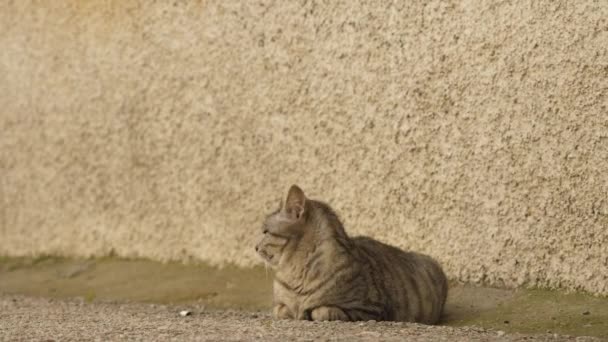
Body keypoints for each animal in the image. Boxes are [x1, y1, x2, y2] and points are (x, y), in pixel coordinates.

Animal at [254, 186, 448, 322]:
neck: (294, 271)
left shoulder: (370, 309)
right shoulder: (279, 305)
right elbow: (281, 309)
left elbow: (324, 311)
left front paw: (310, 311)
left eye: (265, 232)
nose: (255, 247)